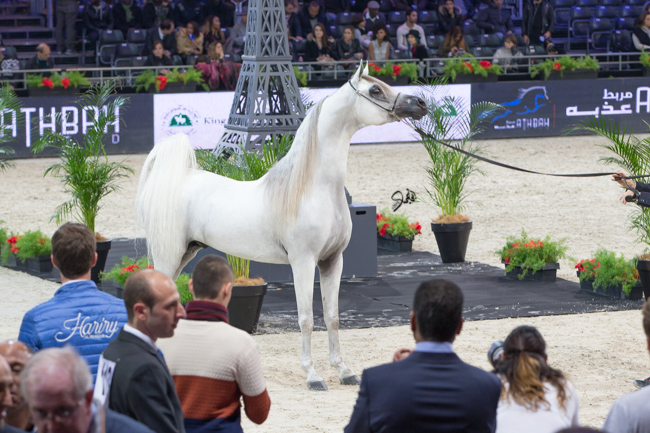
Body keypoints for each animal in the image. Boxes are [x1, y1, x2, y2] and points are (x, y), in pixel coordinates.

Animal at [135, 62, 428, 390]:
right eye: (375, 90)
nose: (420, 103)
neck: (313, 188)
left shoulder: (332, 261)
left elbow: (332, 316)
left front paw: (343, 370)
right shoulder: (303, 262)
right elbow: (306, 318)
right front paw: (313, 376)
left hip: (186, 252)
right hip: (169, 254)